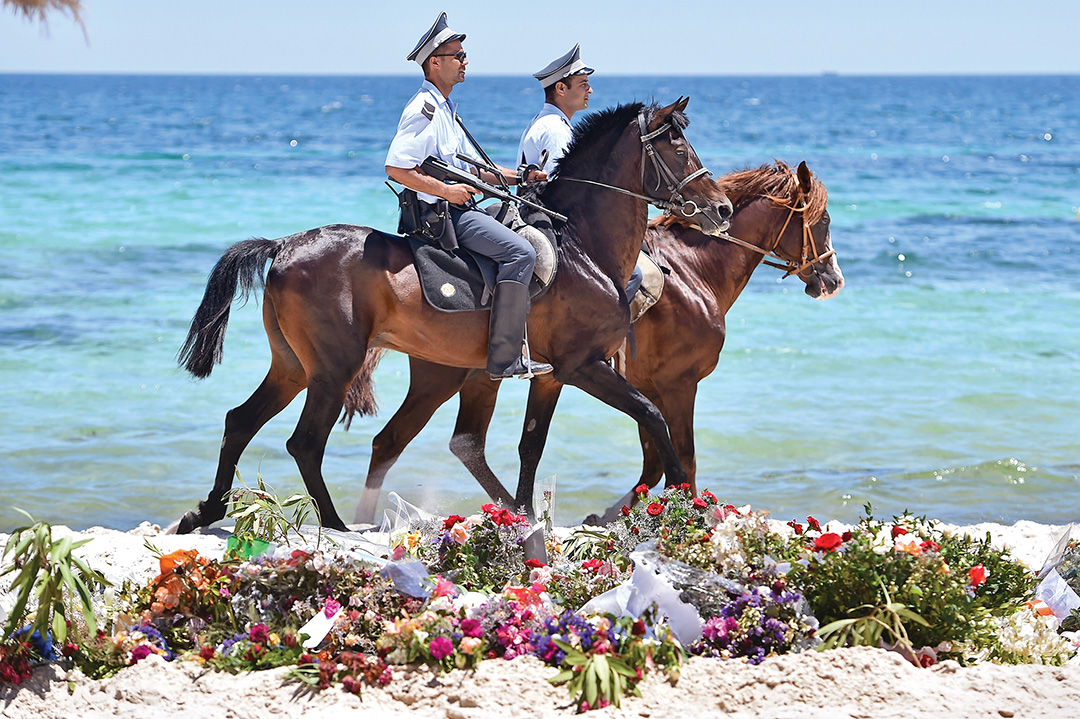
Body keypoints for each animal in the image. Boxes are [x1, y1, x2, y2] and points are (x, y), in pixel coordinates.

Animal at [174, 98, 734, 528]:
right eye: (677, 145)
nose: (722, 209)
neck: (583, 246)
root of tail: (286, 244)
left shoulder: (553, 376)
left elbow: (532, 445)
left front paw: (524, 516)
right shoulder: (584, 366)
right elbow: (655, 418)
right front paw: (688, 500)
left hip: (295, 366)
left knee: (241, 421)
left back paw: (207, 511)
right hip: (334, 369)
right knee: (306, 443)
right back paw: (333, 524)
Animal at [345, 159, 842, 524]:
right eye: (824, 219)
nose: (833, 278)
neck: (694, 270)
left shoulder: (645, 386)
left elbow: (652, 459)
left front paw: (610, 515)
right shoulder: (676, 385)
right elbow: (679, 455)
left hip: (469, 376)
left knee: (433, 443)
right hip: (444, 376)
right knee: (400, 442)